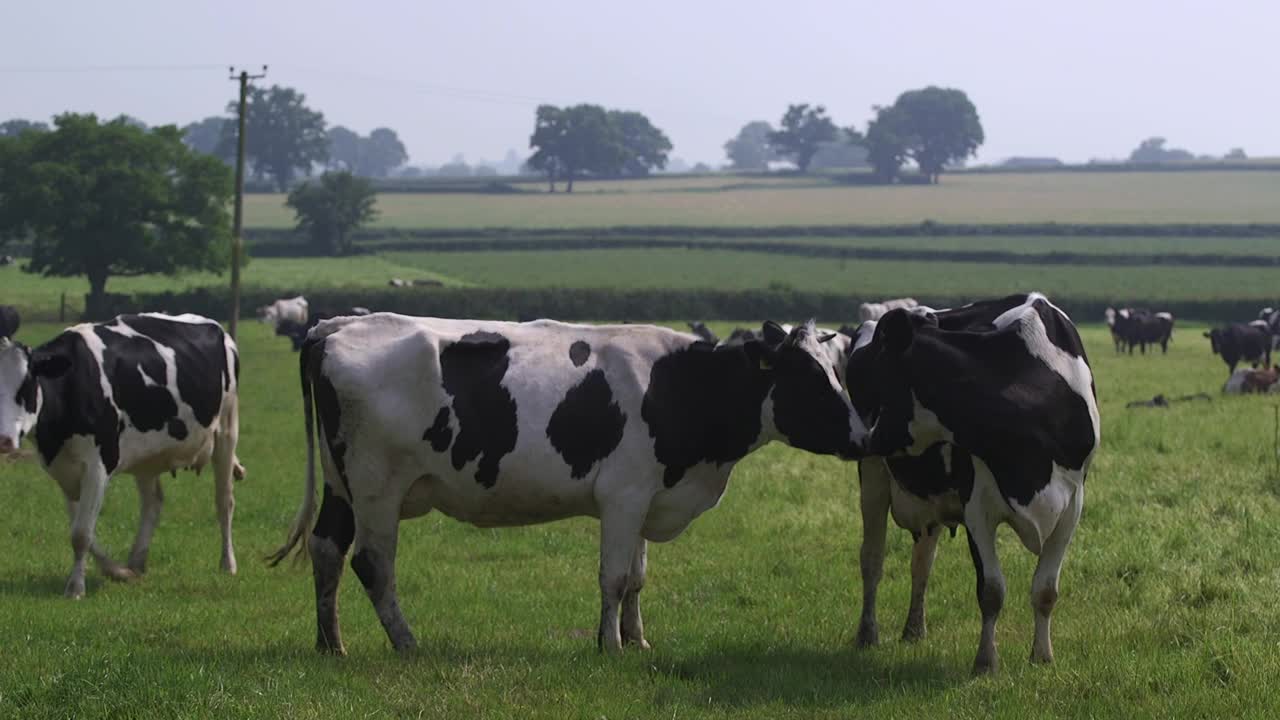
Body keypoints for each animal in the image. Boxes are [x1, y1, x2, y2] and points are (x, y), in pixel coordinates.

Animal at [0, 313, 241, 594]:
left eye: (27, 385)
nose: (4, 440)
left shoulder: (98, 464)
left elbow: (81, 534)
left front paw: (76, 587)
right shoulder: (64, 469)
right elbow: (82, 530)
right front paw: (117, 571)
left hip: (226, 429)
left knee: (224, 501)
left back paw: (228, 563)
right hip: (148, 455)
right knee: (153, 502)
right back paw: (136, 562)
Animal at [270, 312, 870, 650]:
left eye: (837, 370)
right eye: (808, 378)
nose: (864, 437)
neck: (680, 385)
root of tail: (334, 326)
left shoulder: (647, 498)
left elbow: (637, 579)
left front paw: (638, 639)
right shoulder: (624, 495)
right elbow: (613, 578)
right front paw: (610, 646)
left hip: (342, 484)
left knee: (326, 549)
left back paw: (331, 644)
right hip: (376, 486)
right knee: (372, 564)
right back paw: (406, 643)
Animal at [839, 288, 1100, 671]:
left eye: (880, 371)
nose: (861, 435)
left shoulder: (1071, 504)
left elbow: (1046, 590)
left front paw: (1042, 657)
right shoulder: (977, 505)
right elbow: (991, 590)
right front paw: (986, 662)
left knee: (922, 562)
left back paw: (914, 630)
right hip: (873, 476)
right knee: (872, 558)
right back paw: (867, 633)